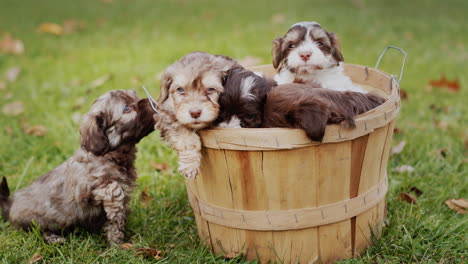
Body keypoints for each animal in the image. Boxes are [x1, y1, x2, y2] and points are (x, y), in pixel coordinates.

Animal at [0, 89, 155, 244]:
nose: (152, 101)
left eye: (135, 96)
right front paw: (117, 243)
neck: (108, 155)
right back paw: (53, 238)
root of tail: (9, 204)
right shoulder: (102, 190)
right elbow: (115, 215)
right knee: (38, 231)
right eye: (127, 108)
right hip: (36, 221)